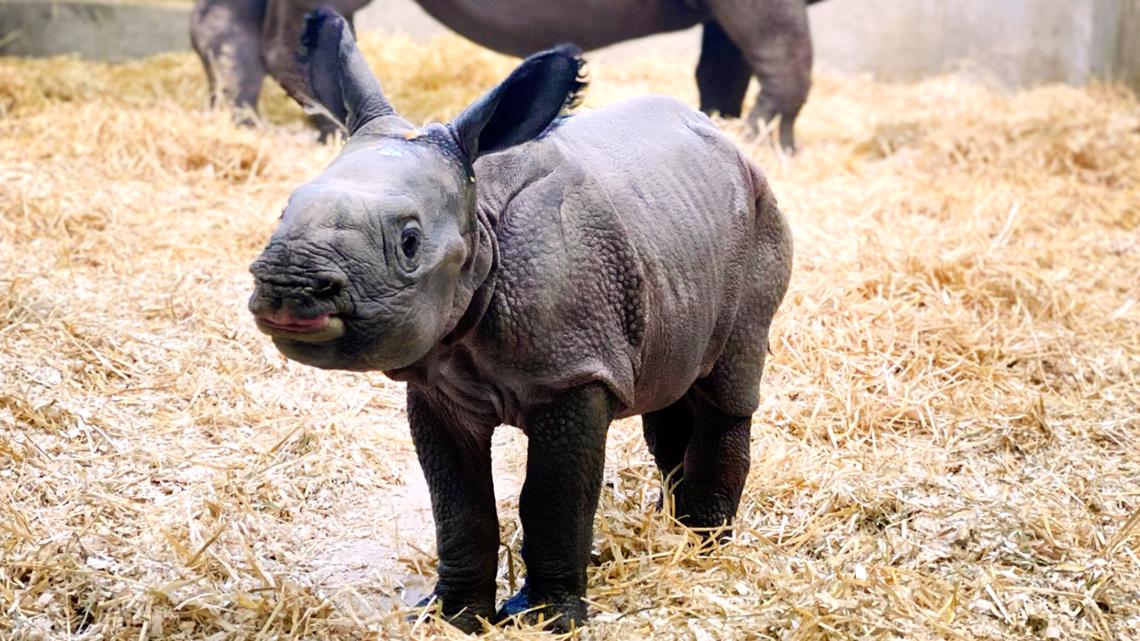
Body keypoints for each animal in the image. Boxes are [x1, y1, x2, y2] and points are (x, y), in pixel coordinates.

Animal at [247, 8, 793, 629]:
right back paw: (669, 531)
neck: (479, 221)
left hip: (760, 220)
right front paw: (452, 615)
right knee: (671, 390)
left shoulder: (574, 372)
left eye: (409, 242)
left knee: (728, 387)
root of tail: (732, 146)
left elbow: (552, 499)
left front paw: (548, 618)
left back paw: (703, 548)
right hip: (672, 231)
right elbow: (458, 504)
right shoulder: (438, 383)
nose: (287, 285)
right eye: (284, 209)